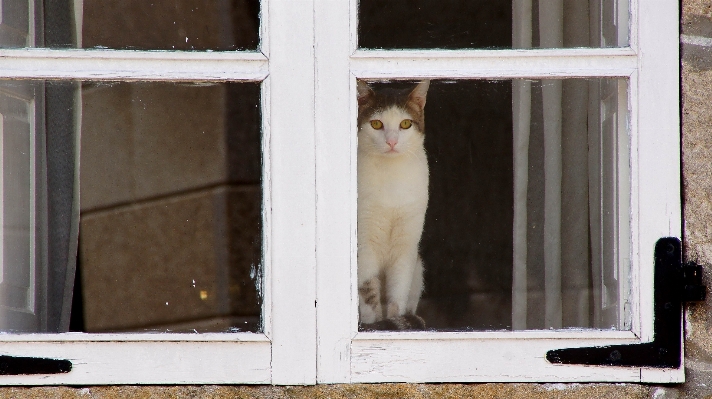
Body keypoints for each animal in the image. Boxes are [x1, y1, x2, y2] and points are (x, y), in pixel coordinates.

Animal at [356, 80, 428, 332]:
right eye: (376, 124)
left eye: (405, 124)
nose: (392, 142)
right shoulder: (364, 244)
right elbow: (369, 294)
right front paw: (374, 326)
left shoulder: (406, 244)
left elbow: (398, 294)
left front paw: (396, 320)